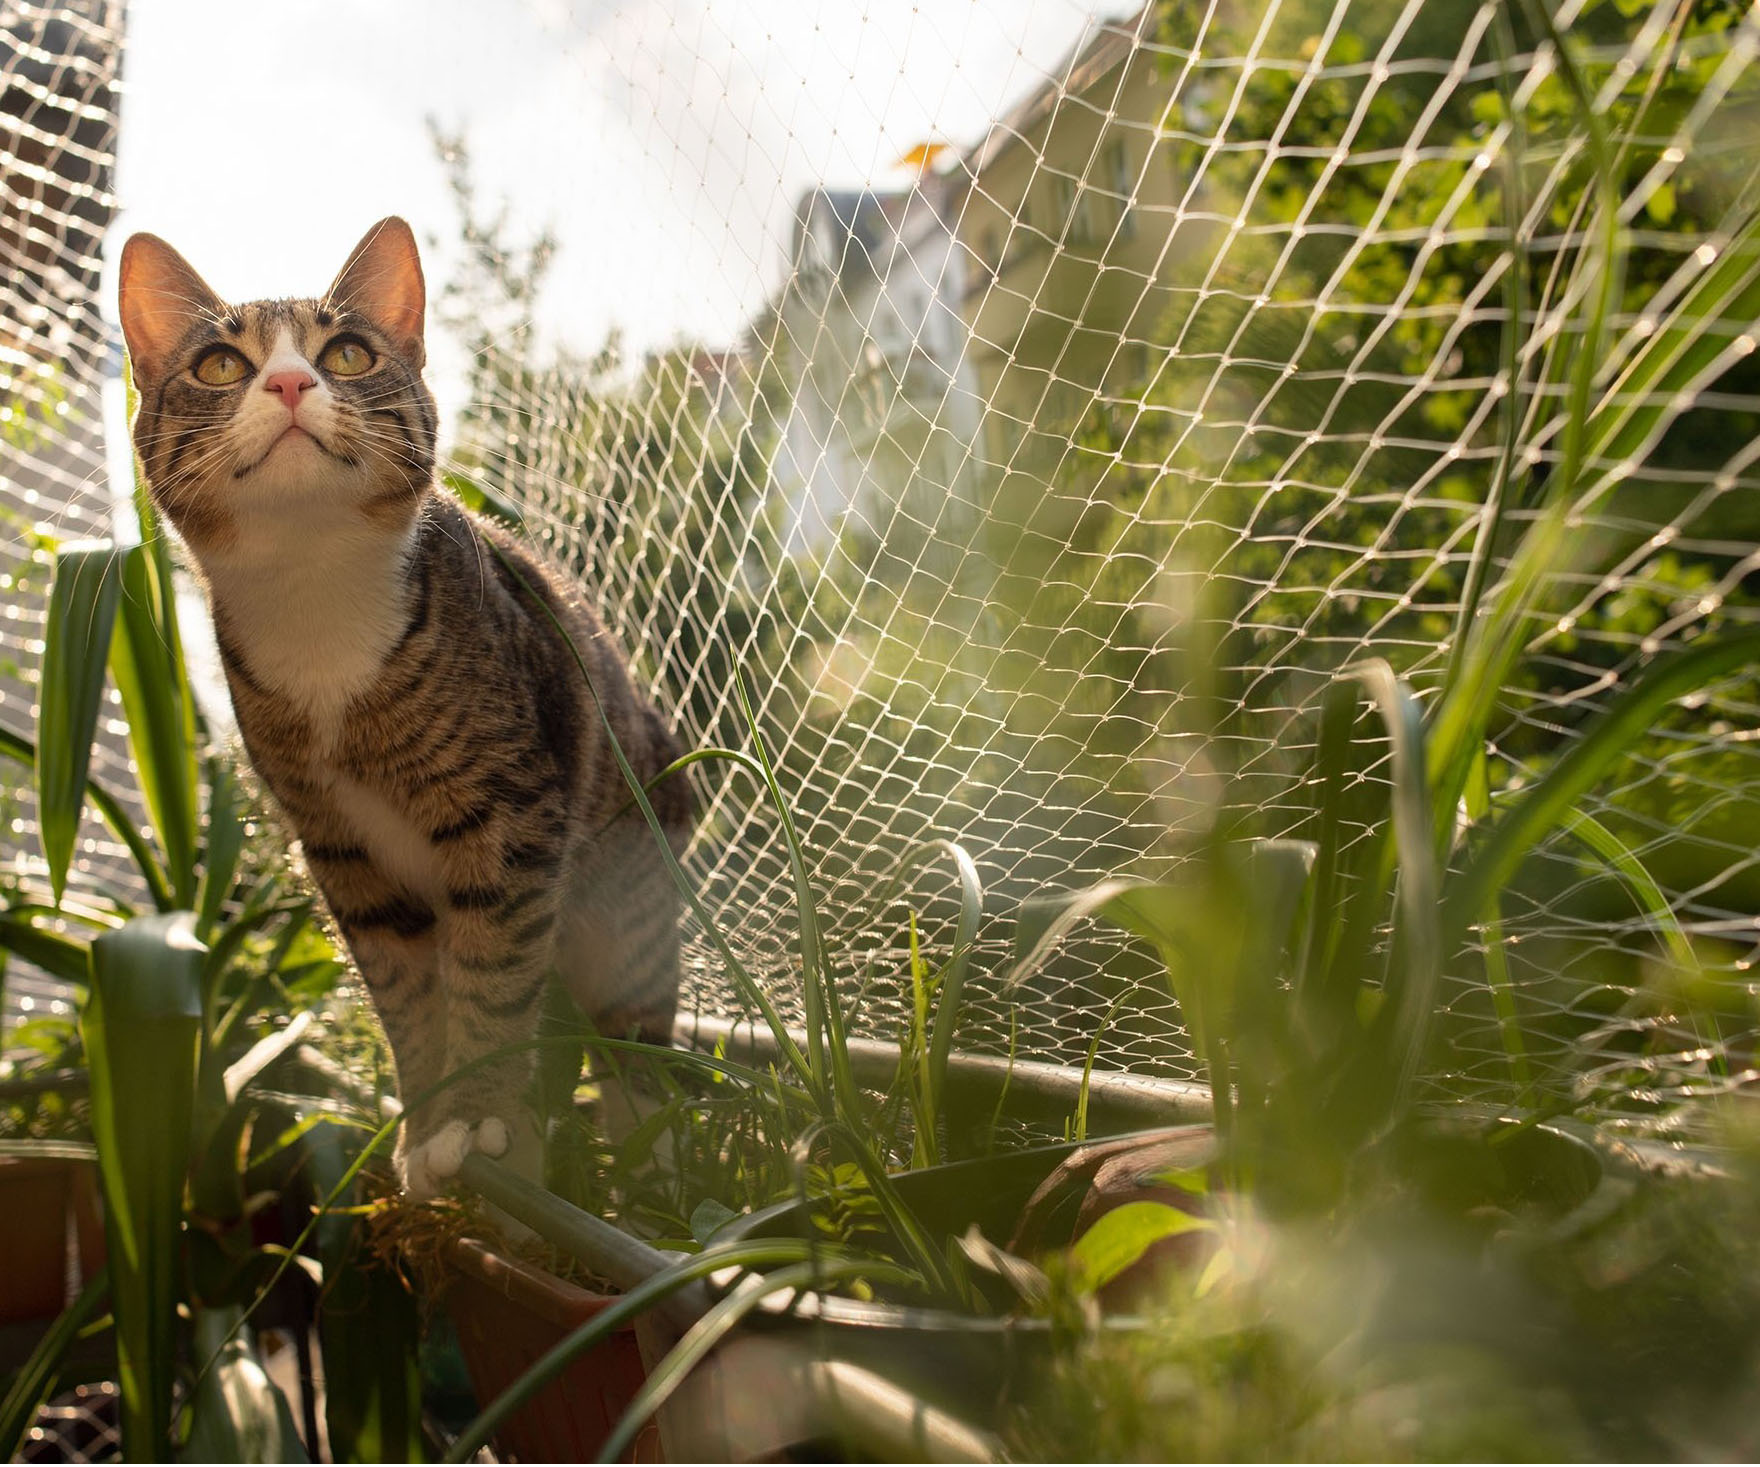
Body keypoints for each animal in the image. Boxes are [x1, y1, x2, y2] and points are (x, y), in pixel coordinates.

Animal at [117, 223, 689, 1196]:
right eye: (220, 365)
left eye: (348, 353)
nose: (289, 382)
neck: (319, 610)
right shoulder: (343, 855)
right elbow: (405, 999)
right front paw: (427, 1127)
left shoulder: (511, 812)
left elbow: (493, 973)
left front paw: (484, 1119)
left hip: (629, 894)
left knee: (635, 1049)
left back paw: (646, 1169)